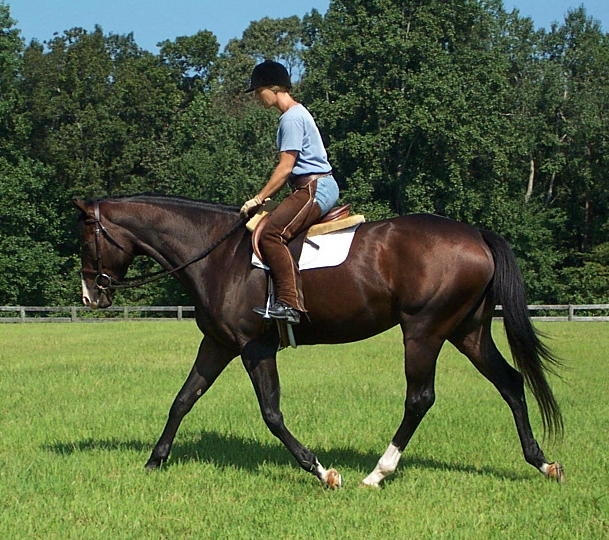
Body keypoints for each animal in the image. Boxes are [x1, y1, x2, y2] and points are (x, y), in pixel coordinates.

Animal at [74, 194, 564, 488]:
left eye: (84, 240)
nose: (90, 296)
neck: (217, 256)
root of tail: (476, 234)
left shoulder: (254, 347)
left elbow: (271, 413)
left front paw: (320, 470)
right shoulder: (218, 344)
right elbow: (182, 400)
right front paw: (155, 461)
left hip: (424, 332)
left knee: (420, 398)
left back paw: (378, 472)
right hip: (468, 332)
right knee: (510, 382)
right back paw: (542, 462)